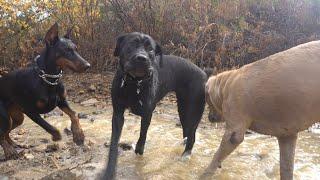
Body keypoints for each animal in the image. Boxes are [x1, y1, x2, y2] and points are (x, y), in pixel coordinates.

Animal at [0, 23, 90, 160]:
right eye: (66, 50)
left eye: (76, 48)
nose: (87, 65)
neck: (48, 79)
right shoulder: (30, 110)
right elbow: (47, 125)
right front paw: (56, 136)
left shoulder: (61, 101)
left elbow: (74, 114)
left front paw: (78, 135)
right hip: (5, 117)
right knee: (1, 133)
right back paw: (9, 151)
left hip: (17, 117)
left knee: (7, 132)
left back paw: (14, 145)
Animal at [104, 32, 206, 179]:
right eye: (130, 45)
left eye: (150, 49)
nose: (142, 58)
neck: (134, 83)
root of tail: (204, 74)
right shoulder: (118, 113)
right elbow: (114, 141)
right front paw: (110, 169)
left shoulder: (147, 113)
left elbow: (143, 134)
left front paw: (139, 152)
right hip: (182, 110)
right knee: (187, 132)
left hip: (192, 111)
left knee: (192, 135)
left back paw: (185, 156)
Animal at [204, 41, 320, 180]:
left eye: (207, 100)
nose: (209, 117)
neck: (225, 85)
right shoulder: (287, 135)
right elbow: (286, 167)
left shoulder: (234, 130)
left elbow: (218, 155)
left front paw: (204, 174)